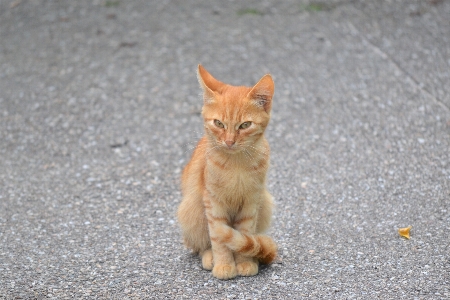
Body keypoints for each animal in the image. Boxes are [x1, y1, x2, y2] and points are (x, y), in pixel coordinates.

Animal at [177, 64, 276, 280]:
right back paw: (209, 257)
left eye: (245, 125)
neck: (236, 165)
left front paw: (245, 262)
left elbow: (245, 234)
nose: (229, 141)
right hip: (191, 210)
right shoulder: (213, 203)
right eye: (219, 123)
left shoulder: (251, 202)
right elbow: (218, 238)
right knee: (199, 246)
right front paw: (224, 264)